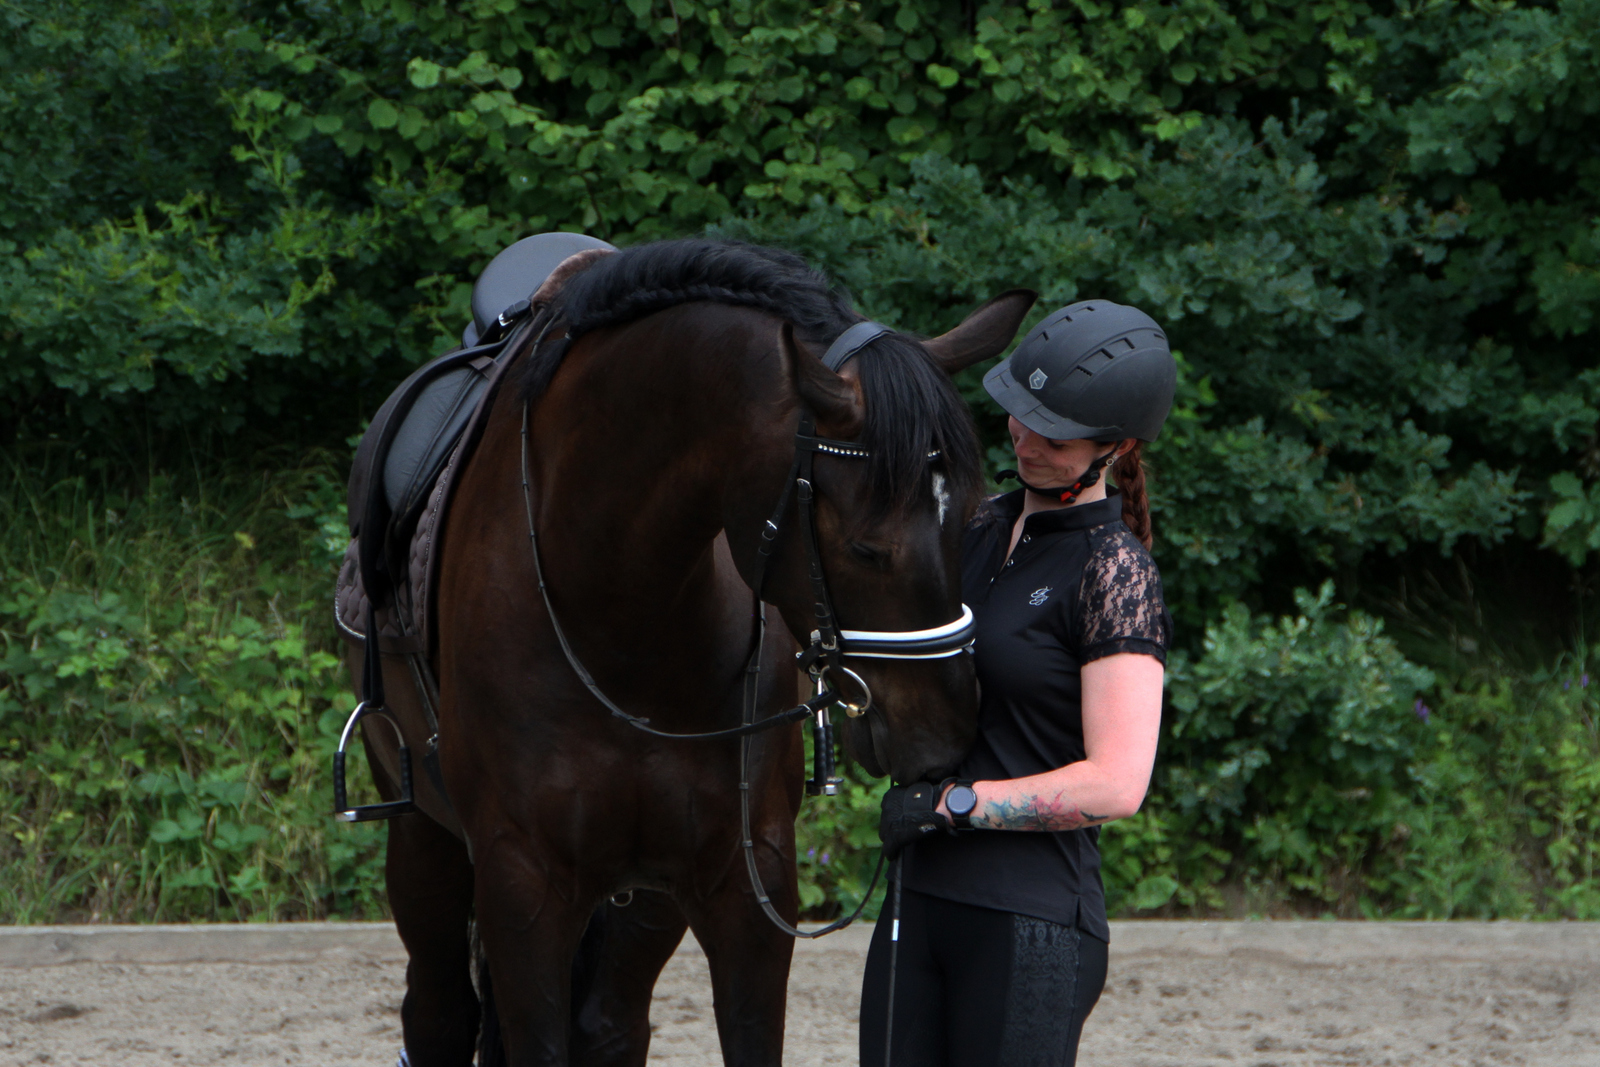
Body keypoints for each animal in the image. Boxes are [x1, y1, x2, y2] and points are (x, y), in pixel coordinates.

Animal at [344, 241, 1030, 1067]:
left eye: (968, 517)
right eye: (868, 547)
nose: (944, 735)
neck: (623, 616)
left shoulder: (745, 882)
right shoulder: (522, 886)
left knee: (610, 1023)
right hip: (424, 835)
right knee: (439, 1012)